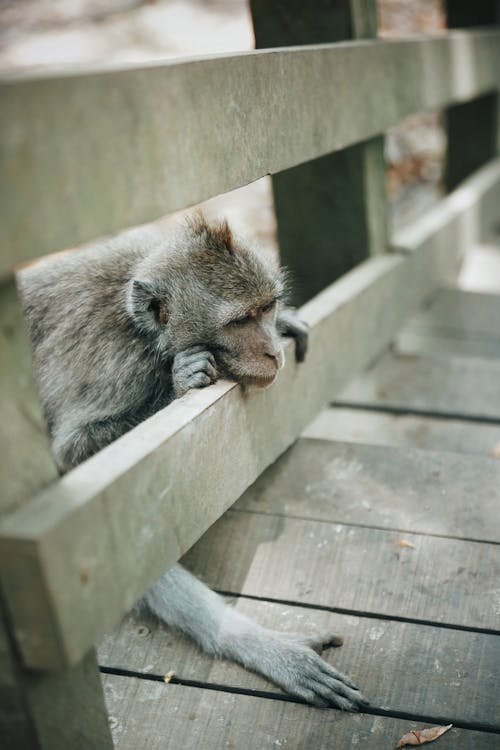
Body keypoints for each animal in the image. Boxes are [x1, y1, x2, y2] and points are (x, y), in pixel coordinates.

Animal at [18, 216, 368, 712]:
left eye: (265, 308)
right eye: (240, 321)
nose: (272, 351)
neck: (147, 333)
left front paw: (288, 320)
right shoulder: (116, 364)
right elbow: (74, 457)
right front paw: (182, 383)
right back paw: (251, 642)